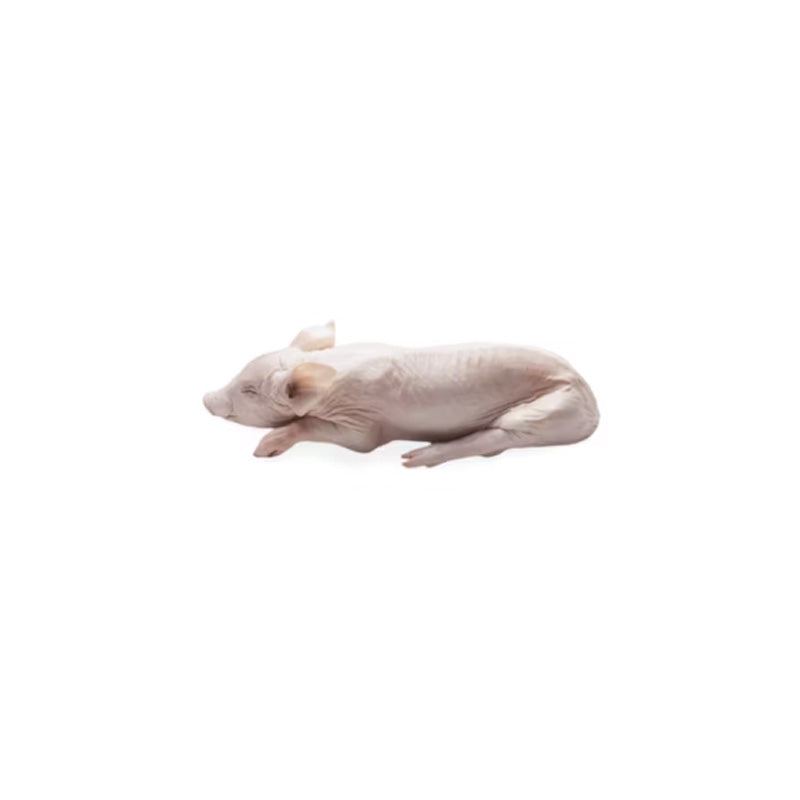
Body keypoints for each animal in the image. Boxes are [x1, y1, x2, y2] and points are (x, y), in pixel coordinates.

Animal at [203, 322, 599, 468]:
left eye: (250, 390)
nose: (206, 398)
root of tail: (591, 401)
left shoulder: (361, 426)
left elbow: (319, 429)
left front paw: (261, 452)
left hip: (547, 411)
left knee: (498, 437)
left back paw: (411, 459)